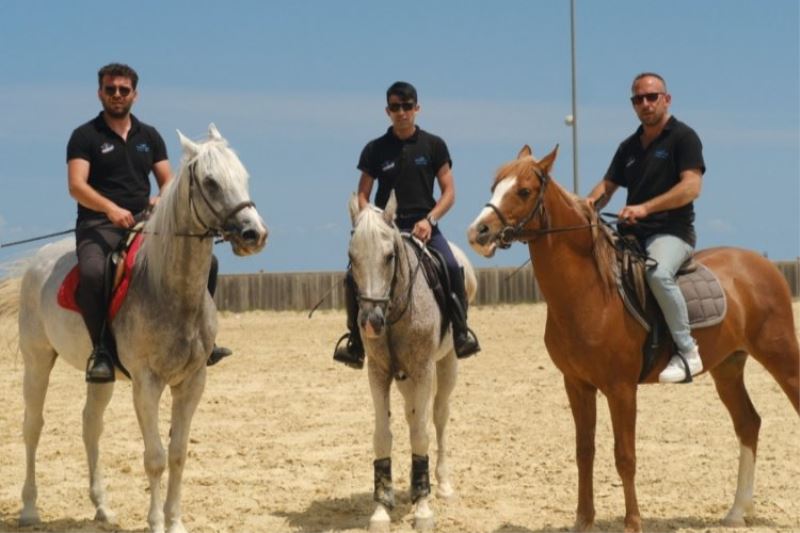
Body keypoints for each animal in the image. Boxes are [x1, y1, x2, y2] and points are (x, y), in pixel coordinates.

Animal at [15, 123, 268, 532]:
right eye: (211, 182)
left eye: (243, 176)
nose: (254, 235)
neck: (168, 287)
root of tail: (39, 260)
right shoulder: (147, 383)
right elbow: (155, 457)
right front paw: (155, 523)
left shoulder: (193, 382)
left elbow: (178, 453)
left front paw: (175, 521)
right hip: (37, 360)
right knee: (32, 426)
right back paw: (29, 509)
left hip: (99, 376)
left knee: (90, 425)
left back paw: (102, 508)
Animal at [346, 192, 472, 532]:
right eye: (352, 257)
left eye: (390, 256)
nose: (371, 322)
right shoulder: (379, 372)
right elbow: (382, 436)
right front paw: (381, 508)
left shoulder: (423, 369)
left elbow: (421, 434)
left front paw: (424, 509)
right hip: (404, 380)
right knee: (411, 414)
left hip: (447, 364)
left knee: (438, 416)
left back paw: (441, 486)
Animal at [466, 144, 796, 532]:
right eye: (495, 186)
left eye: (523, 191)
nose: (478, 232)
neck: (592, 292)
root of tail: (761, 265)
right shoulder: (576, 385)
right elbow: (584, 452)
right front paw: (583, 520)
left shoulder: (620, 388)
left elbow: (625, 456)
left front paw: (633, 522)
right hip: (728, 368)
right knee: (748, 423)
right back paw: (736, 511)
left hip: (782, 358)